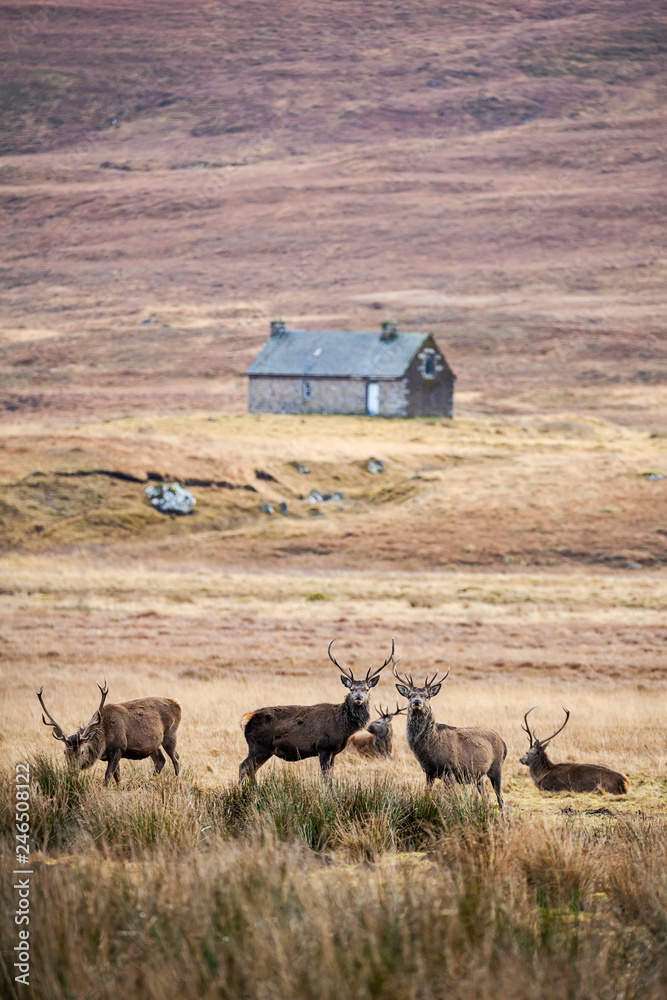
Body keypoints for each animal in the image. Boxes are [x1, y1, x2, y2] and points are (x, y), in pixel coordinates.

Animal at [36, 681, 182, 786]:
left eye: (82, 751)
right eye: (65, 752)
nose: (72, 771)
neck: (104, 741)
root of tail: (177, 703)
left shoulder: (119, 747)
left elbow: (108, 775)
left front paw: (106, 788)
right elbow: (117, 776)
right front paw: (119, 788)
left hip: (170, 734)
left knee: (176, 758)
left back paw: (177, 779)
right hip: (154, 745)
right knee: (160, 760)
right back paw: (152, 780)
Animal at [238, 639, 394, 782]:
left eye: (367, 689)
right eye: (351, 689)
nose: (358, 697)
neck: (344, 728)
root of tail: (246, 719)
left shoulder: (334, 752)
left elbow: (331, 777)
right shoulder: (323, 747)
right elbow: (326, 777)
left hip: (266, 750)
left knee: (252, 770)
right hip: (259, 746)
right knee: (243, 767)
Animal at [393, 661, 507, 810]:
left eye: (427, 696)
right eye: (410, 695)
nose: (417, 702)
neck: (430, 748)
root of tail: (503, 743)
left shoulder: (449, 770)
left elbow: (450, 799)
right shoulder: (429, 772)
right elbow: (427, 794)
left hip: (496, 767)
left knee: (501, 799)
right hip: (479, 776)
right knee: (487, 797)